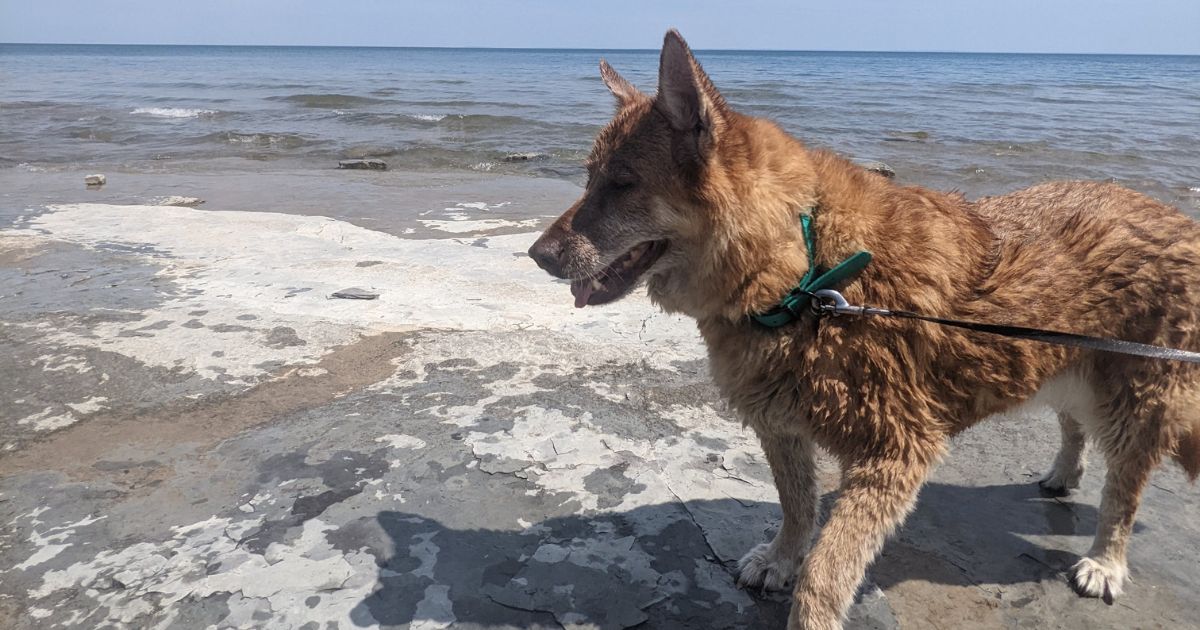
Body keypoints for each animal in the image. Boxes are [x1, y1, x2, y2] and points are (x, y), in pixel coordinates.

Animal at [525, 30, 1200, 628]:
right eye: (590, 179)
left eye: (622, 184)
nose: (537, 255)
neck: (804, 269)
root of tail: (1175, 216)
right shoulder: (780, 424)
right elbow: (797, 506)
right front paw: (781, 558)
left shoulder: (890, 454)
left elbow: (827, 571)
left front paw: (809, 606)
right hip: (1065, 361)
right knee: (1072, 421)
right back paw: (1064, 472)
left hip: (1135, 398)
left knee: (1124, 491)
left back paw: (1106, 559)